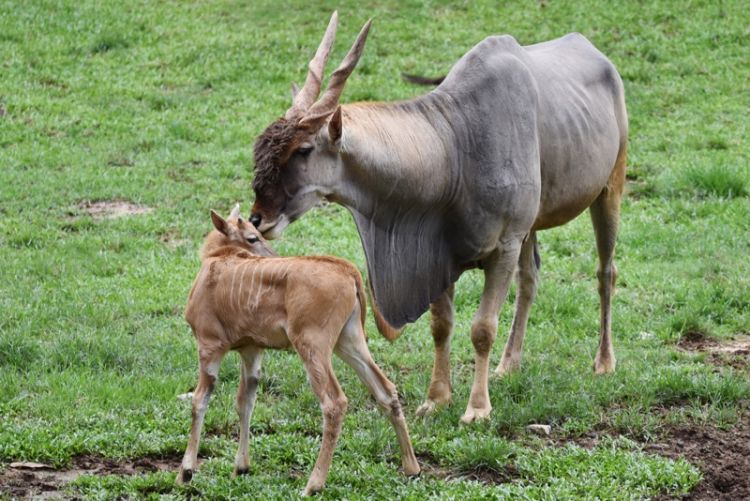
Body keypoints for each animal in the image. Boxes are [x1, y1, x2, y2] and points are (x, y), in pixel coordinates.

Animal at [178, 204, 424, 496]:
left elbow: (200, 400)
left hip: (312, 343)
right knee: (386, 390)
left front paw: (186, 471)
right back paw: (412, 467)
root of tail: (349, 271)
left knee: (334, 402)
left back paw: (313, 484)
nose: (274, 254)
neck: (218, 259)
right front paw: (241, 467)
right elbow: (245, 401)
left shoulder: (210, 344)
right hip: (349, 340)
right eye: (252, 237)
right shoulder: (251, 349)